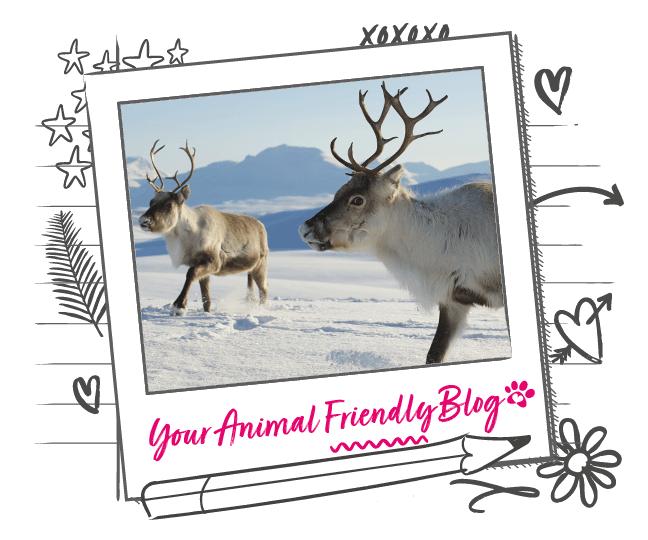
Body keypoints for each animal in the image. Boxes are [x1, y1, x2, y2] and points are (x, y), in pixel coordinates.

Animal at [138, 140, 269, 316]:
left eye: (169, 204)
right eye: (151, 202)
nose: (143, 220)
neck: (189, 236)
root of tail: (261, 226)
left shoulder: (214, 261)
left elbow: (190, 274)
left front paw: (179, 306)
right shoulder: (199, 264)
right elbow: (206, 299)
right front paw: (204, 313)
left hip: (261, 264)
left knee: (264, 290)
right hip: (252, 268)